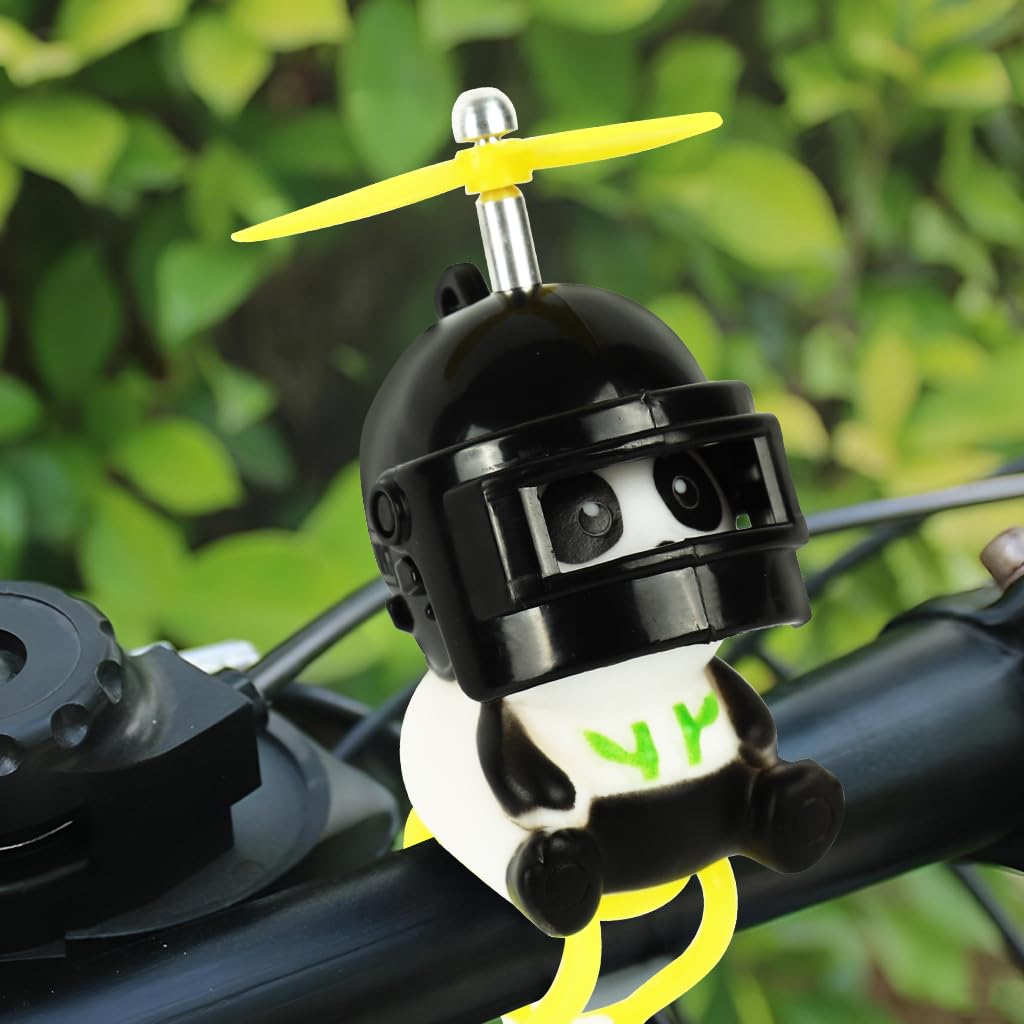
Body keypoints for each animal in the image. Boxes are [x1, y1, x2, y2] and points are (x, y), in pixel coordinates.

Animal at [401, 449, 844, 938]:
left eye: (688, 490)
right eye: (590, 514)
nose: (671, 545)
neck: (633, 692)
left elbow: (748, 713)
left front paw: (763, 742)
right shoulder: (499, 720)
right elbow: (519, 777)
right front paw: (555, 797)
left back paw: (801, 804)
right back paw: (558, 876)